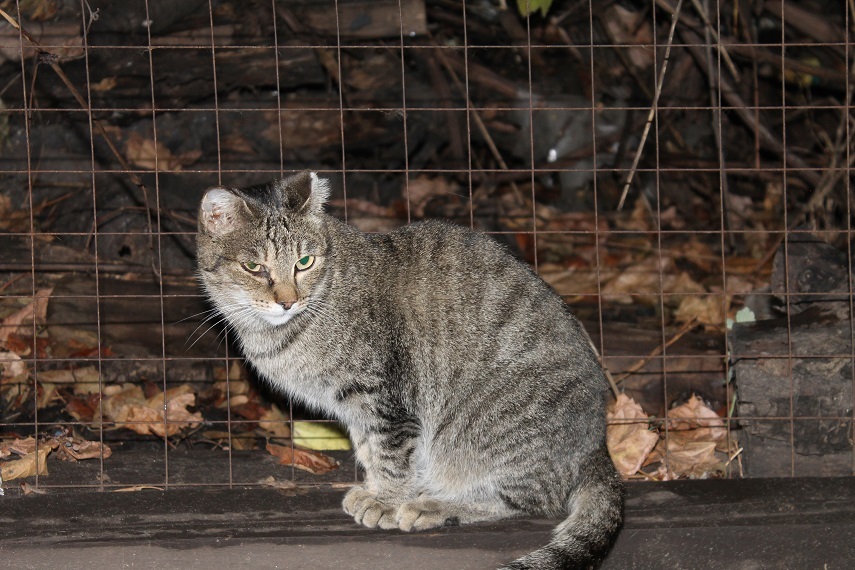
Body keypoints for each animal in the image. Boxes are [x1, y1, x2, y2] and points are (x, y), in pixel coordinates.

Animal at [197, 173, 624, 568]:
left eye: (305, 262)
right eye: (254, 267)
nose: (288, 301)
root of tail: (597, 447)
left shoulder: (385, 398)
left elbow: (392, 454)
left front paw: (387, 499)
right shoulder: (355, 407)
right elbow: (369, 449)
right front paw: (373, 487)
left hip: (492, 431)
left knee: (529, 497)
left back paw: (436, 505)